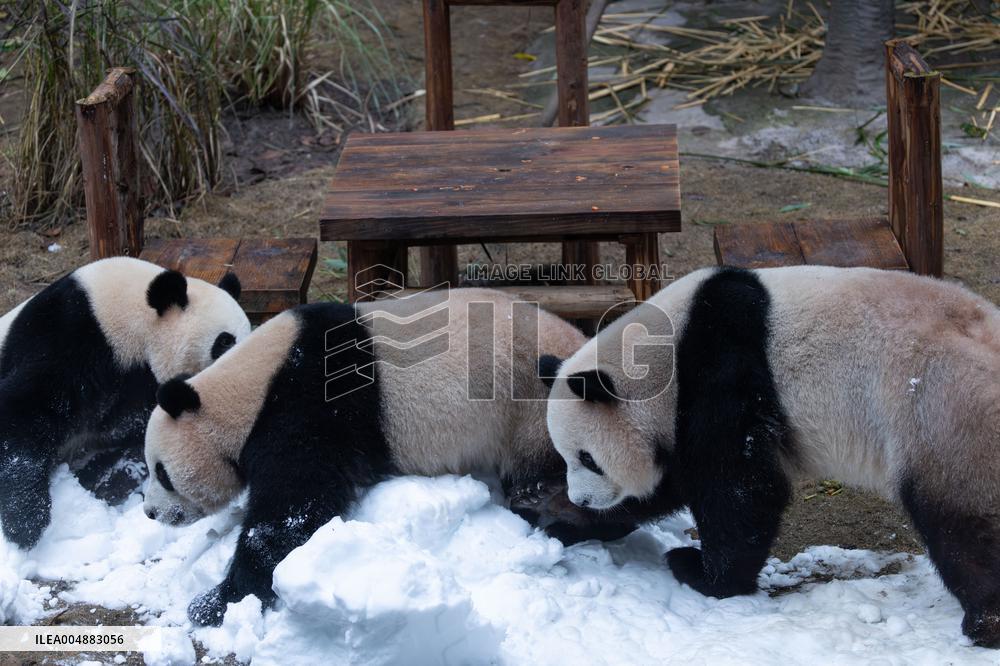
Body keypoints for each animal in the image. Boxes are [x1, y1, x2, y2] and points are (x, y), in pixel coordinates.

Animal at [0, 257, 250, 549]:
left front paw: (104, 475)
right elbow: (22, 412)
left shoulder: (140, 386)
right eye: (224, 341)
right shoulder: (68, 335)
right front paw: (26, 524)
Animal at [142, 288, 639, 626]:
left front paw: (215, 603)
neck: (250, 388)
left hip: (545, 418)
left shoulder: (310, 405)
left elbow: (291, 512)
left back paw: (569, 523)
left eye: (161, 472)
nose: (149, 512)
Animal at [542, 266, 1000, 647]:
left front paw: (704, 575)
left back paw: (984, 622)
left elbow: (739, 485)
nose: (584, 498)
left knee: (959, 522)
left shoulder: (723, 365)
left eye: (588, 458)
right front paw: (561, 519)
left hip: (941, 412)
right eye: (566, 459)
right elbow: (672, 484)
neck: (662, 349)